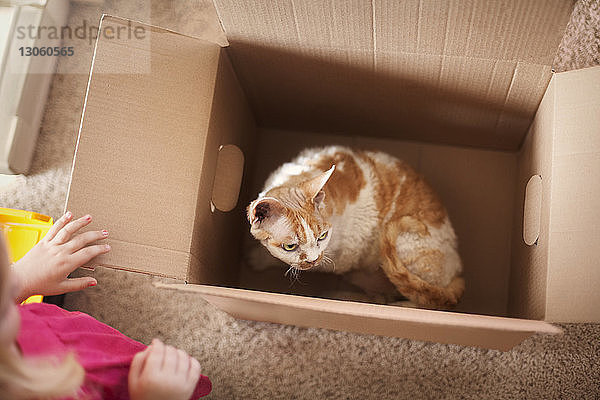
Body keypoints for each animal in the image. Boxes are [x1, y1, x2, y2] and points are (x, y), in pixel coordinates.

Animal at [246, 147, 466, 310]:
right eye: (290, 246)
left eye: (322, 236)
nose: (313, 259)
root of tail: (458, 269)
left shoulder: (343, 254)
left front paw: (258, 259)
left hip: (408, 245)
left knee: (421, 301)